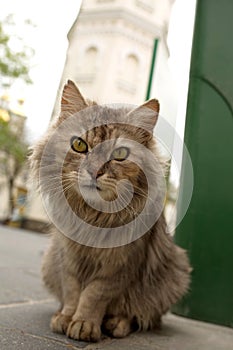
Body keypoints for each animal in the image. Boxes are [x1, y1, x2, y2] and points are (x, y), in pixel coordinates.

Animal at [30, 80, 190, 342]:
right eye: (79, 145)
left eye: (119, 154)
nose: (94, 172)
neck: (93, 216)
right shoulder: (68, 257)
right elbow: (72, 290)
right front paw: (66, 318)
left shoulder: (120, 264)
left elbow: (94, 294)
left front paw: (84, 324)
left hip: (174, 276)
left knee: (142, 316)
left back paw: (116, 324)